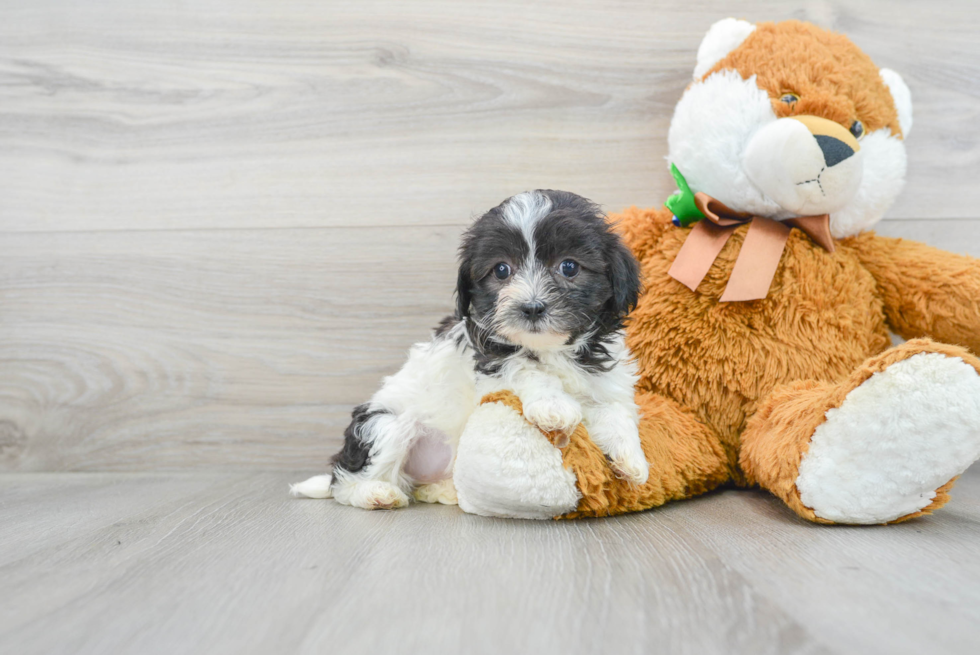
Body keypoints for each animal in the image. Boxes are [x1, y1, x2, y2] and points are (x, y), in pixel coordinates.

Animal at [290, 190, 652, 512]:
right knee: (348, 482)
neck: (552, 349)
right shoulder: (488, 358)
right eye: (502, 270)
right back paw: (376, 493)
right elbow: (524, 367)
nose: (532, 307)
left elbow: (616, 410)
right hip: (384, 425)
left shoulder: (606, 379)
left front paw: (632, 459)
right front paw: (553, 405)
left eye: (569, 267)